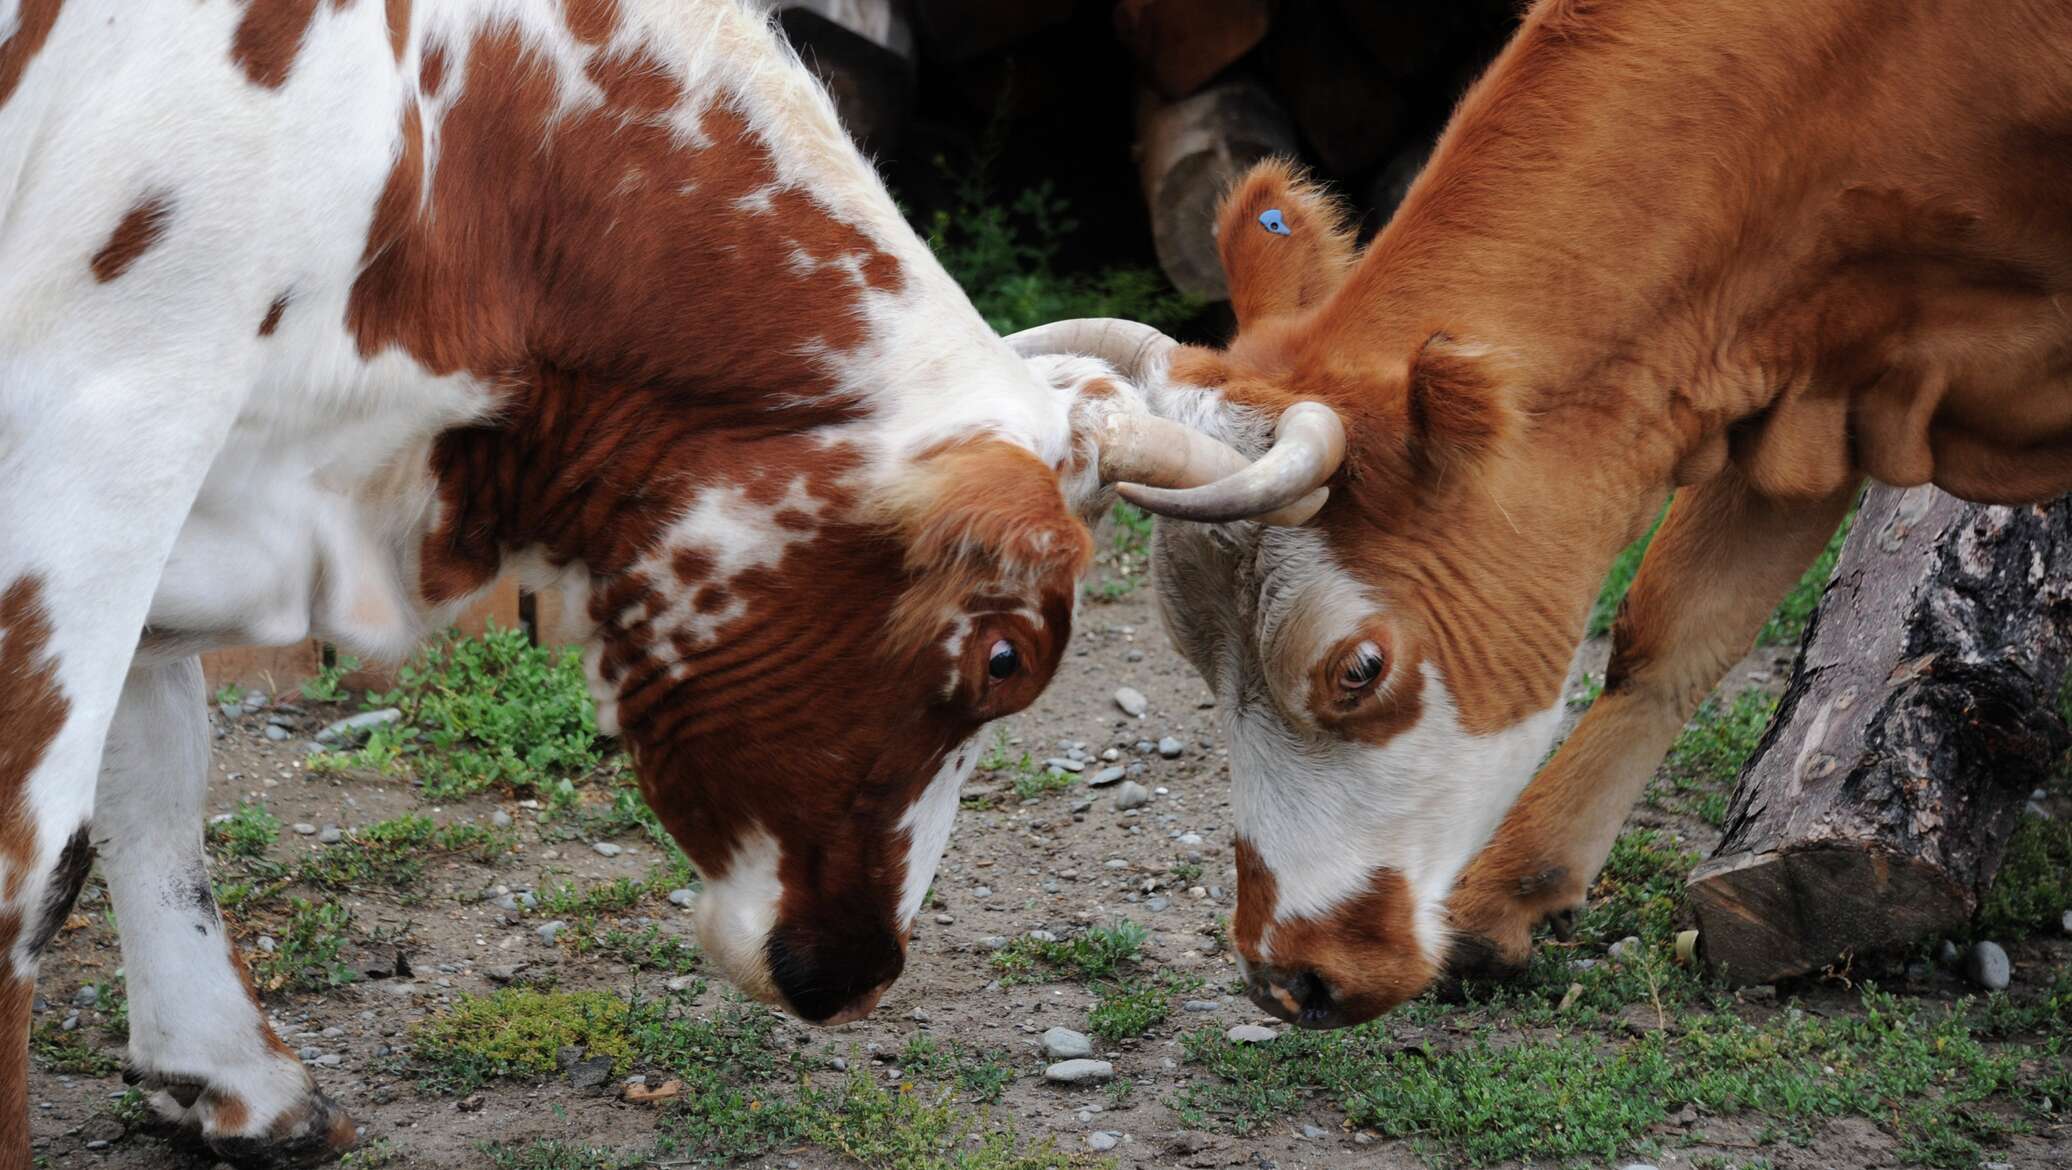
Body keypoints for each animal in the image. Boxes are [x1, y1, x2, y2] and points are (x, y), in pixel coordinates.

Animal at [0, 0, 1342, 1159]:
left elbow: (153, 781)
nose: (857, 975)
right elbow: (36, 849)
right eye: (1006, 657)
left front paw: (227, 1075)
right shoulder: (102, 432)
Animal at [1019, 0, 2072, 1022]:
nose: (1288, 978)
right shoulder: (1806, 387)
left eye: (1359, 669)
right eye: (1196, 660)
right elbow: (1673, 629)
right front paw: (1506, 900)